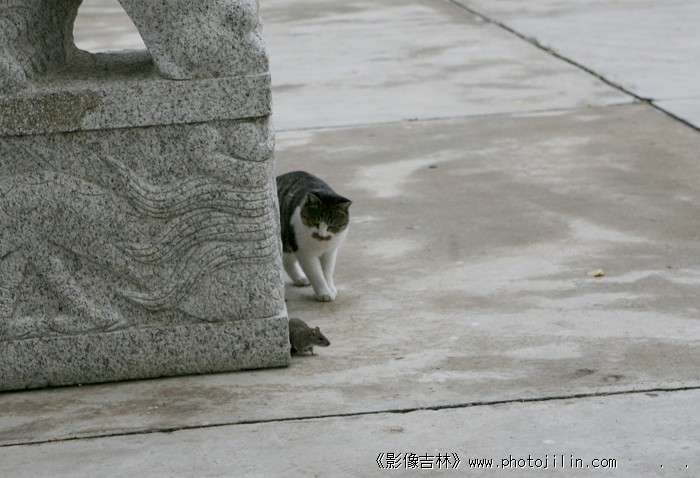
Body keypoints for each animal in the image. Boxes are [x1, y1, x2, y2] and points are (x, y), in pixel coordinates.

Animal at [277, 171, 352, 302]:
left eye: (331, 226)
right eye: (315, 222)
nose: (321, 235)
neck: (321, 244)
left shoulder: (330, 252)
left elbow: (327, 271)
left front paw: (330, 288)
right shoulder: (305, 253)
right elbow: (316, 274)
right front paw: (324, 293)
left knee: (287, 260)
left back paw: (300, 278)